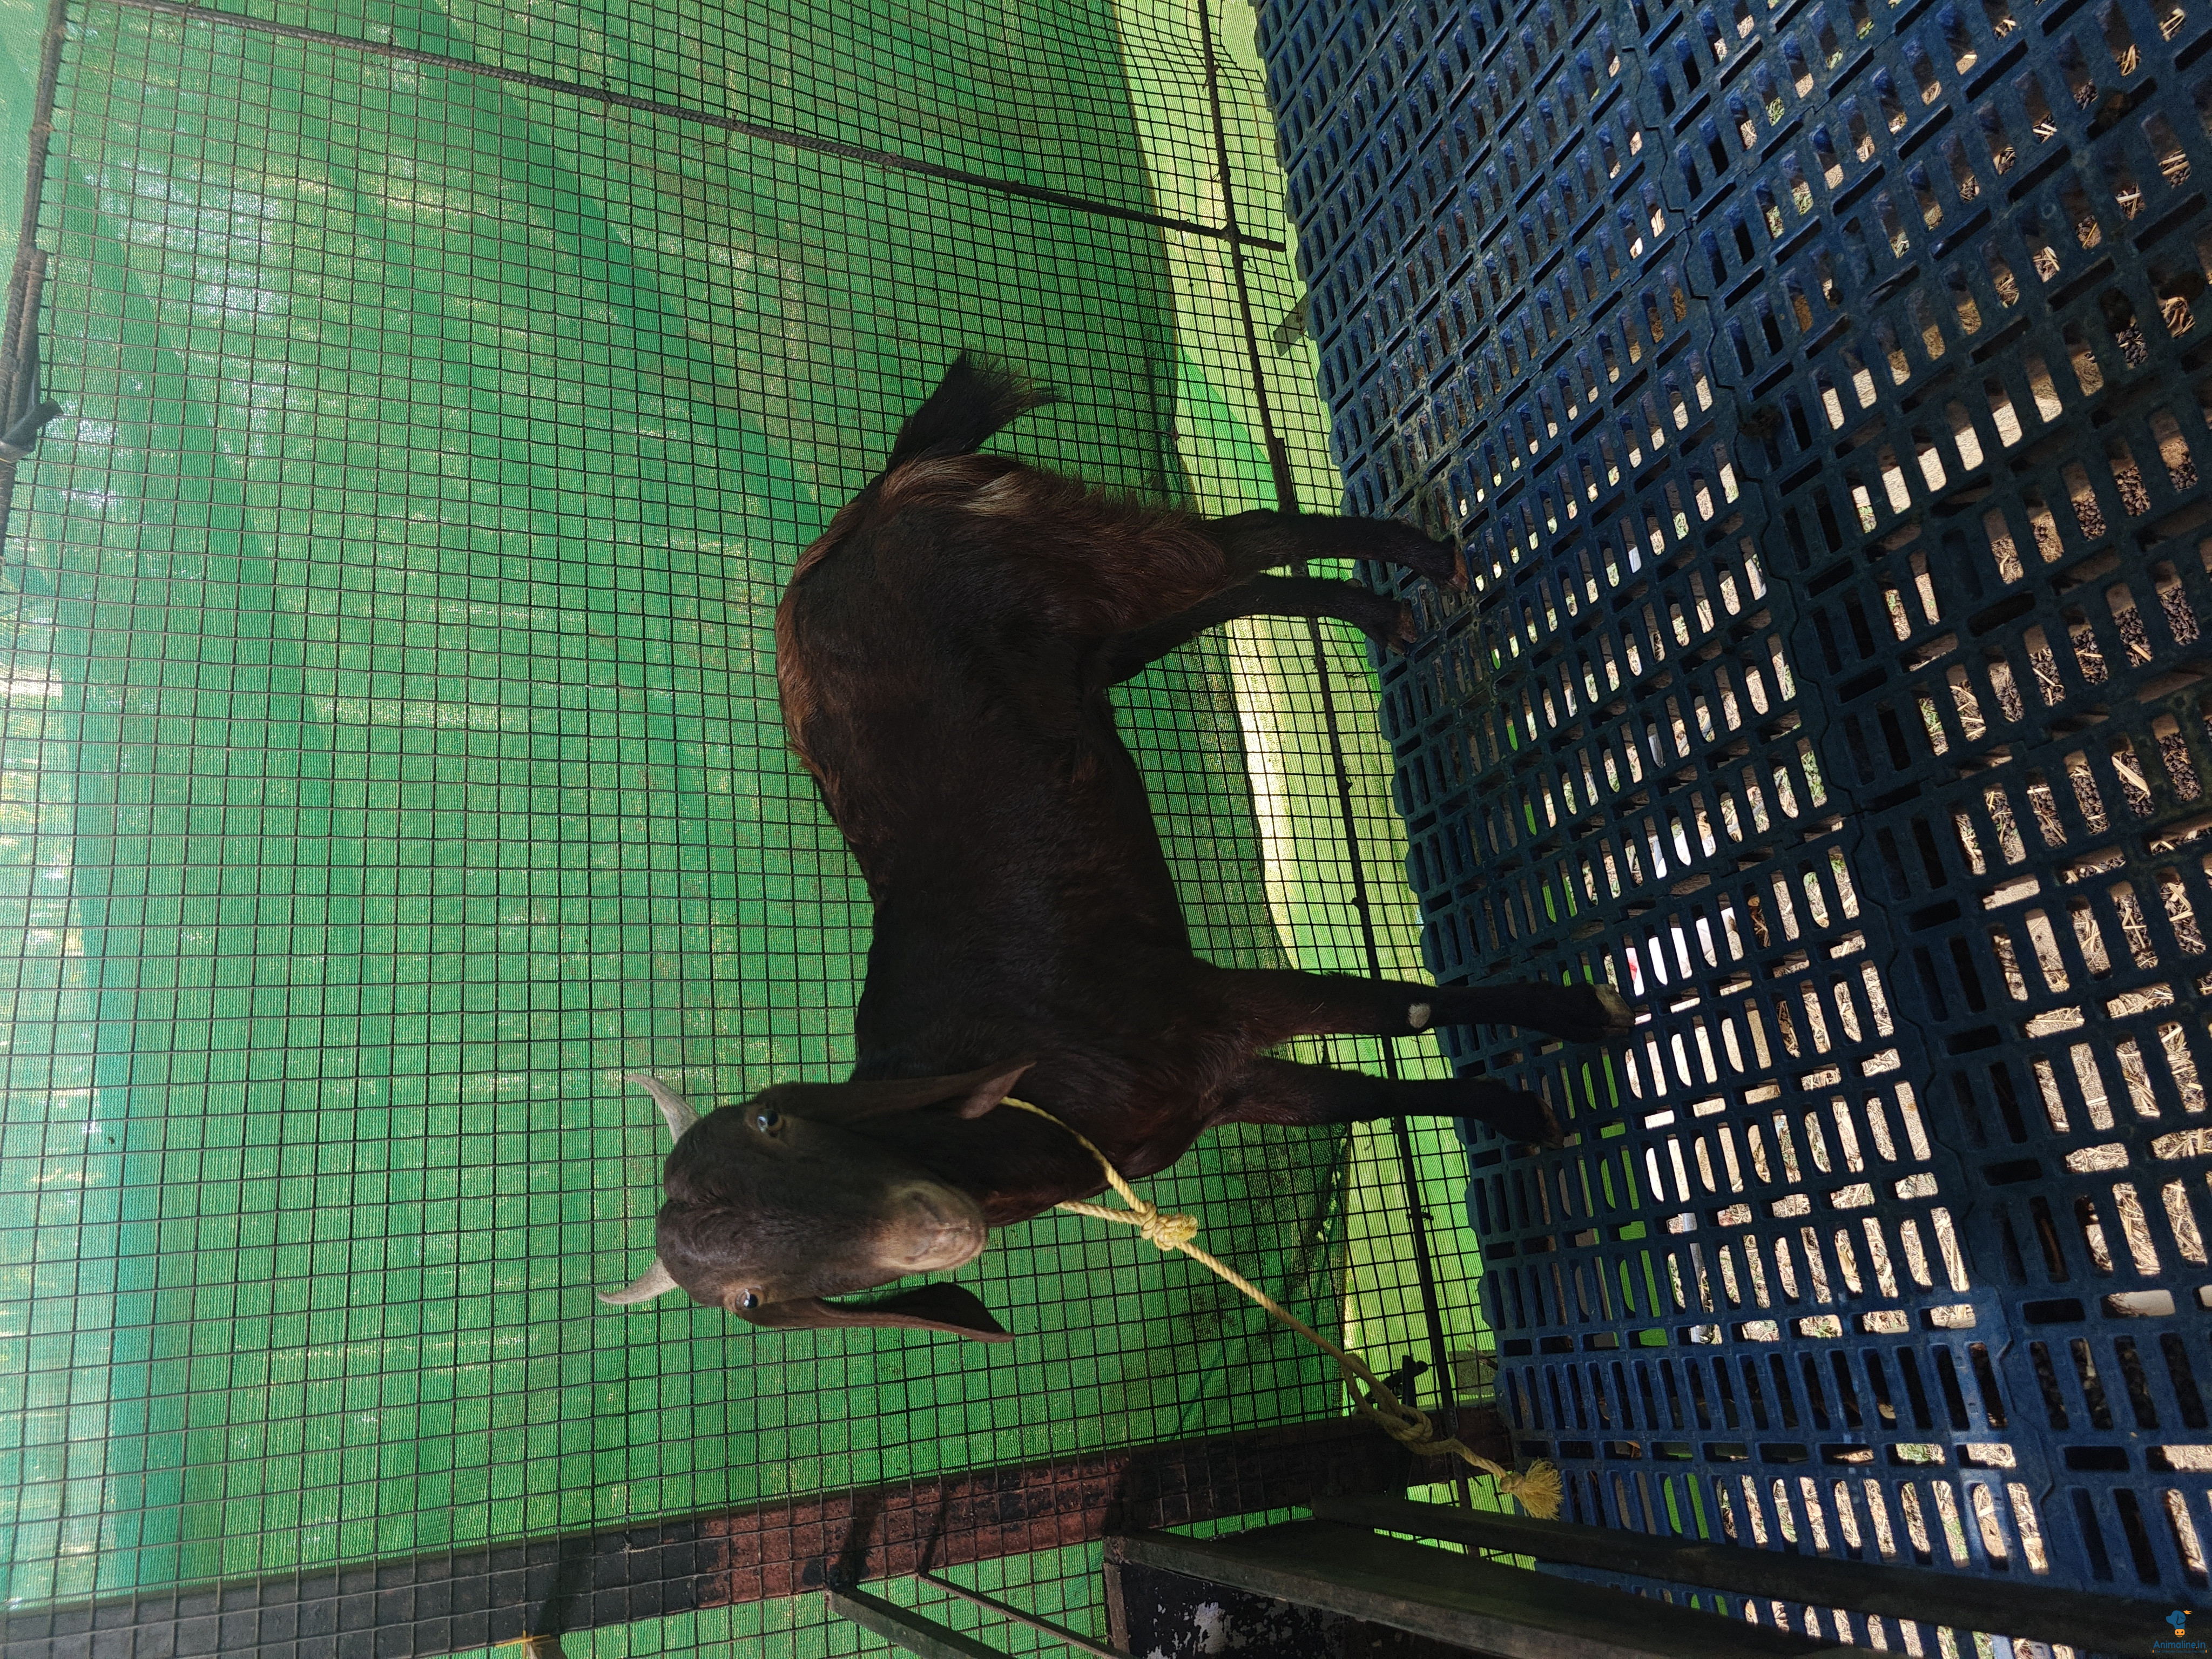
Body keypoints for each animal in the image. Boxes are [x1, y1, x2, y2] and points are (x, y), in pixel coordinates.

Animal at [602, 356, 1632, 1341]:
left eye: (774, 1120)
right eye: (750, 1296)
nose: (937, 1225)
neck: (1026, 1101)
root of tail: (880, 492)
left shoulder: (1199, 1001)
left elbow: (1401, 1012)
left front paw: (1576, 1014)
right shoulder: (1218, 1080)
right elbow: (1359, 1099)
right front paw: (1515, 1108)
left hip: (1075, 554)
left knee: (1241, 538)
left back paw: (1420, 559)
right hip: (1083, 642)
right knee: (1200, 603)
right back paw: (1372, 611)